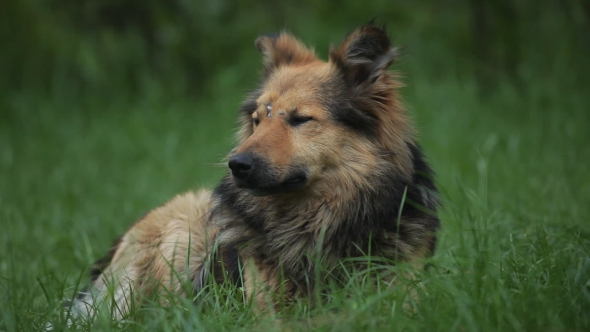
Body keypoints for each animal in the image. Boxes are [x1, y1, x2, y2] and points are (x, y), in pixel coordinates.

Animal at [69, 24, 442, 322]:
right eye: (258, 120)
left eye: (300, 119)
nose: (236, 165)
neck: (317, 219)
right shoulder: (266, 307)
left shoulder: (406, 293)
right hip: (182, 234)